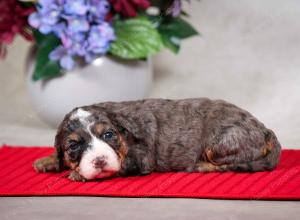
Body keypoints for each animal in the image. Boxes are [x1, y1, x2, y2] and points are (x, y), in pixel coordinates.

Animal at [34, 99, 282, 181]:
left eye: (109, 135)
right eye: (73, 146)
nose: (100, 160)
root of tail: (265, 129)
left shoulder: (141, 158)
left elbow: (121, 165)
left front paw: (78, 174)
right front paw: (47, 161)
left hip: (220, 143)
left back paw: (201, 165)